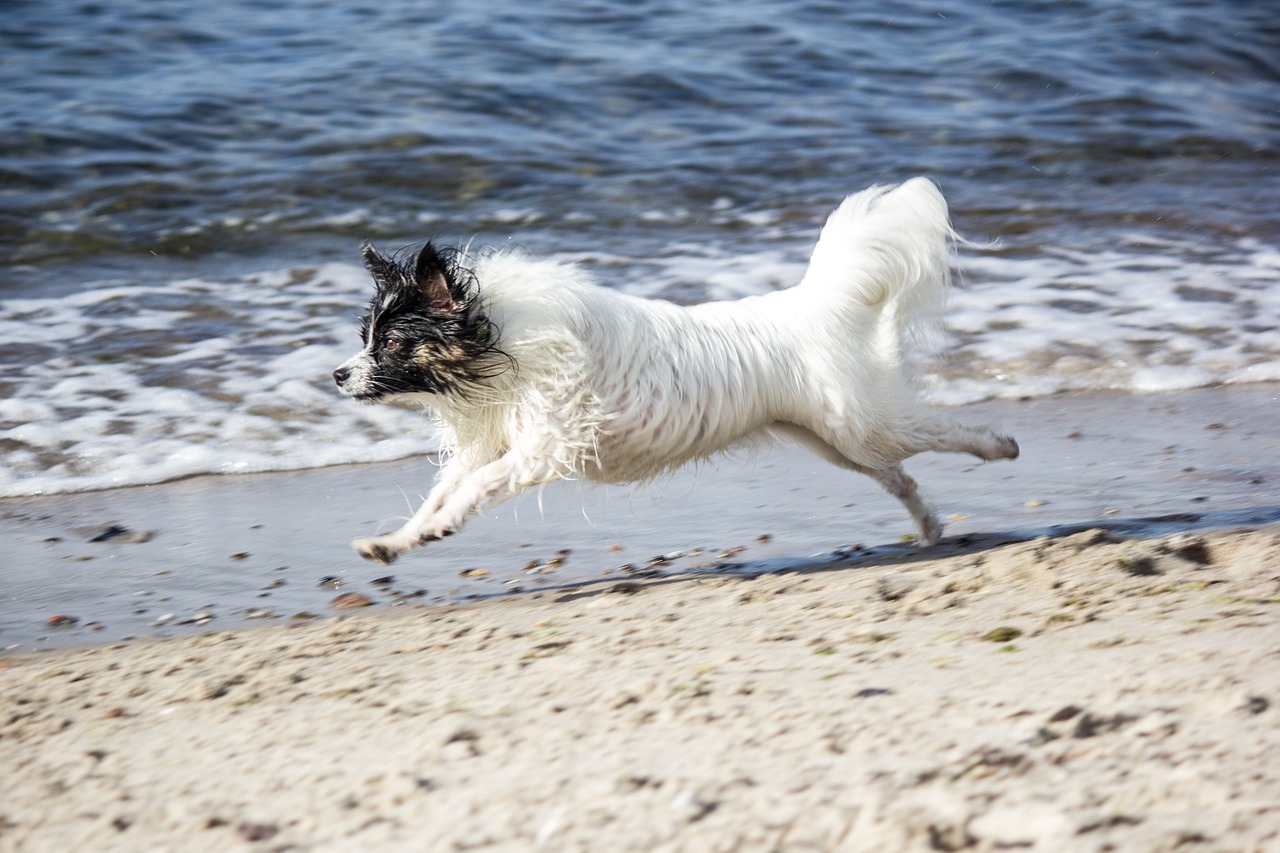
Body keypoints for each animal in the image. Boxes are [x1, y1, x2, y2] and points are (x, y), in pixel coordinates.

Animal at [332, 175, 1018, 560]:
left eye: (389, 343)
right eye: (366, 339)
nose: (337, 376)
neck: (495, 340)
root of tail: (814, 305)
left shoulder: (540, 448)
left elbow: (472, 490)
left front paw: (443, 527)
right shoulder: (493, 441)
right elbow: (438, 494)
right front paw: (398, 541)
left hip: (859, 424)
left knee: (934, 433)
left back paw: (999, 447)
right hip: (835, 442)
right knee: (899, 476)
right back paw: (931, 527)